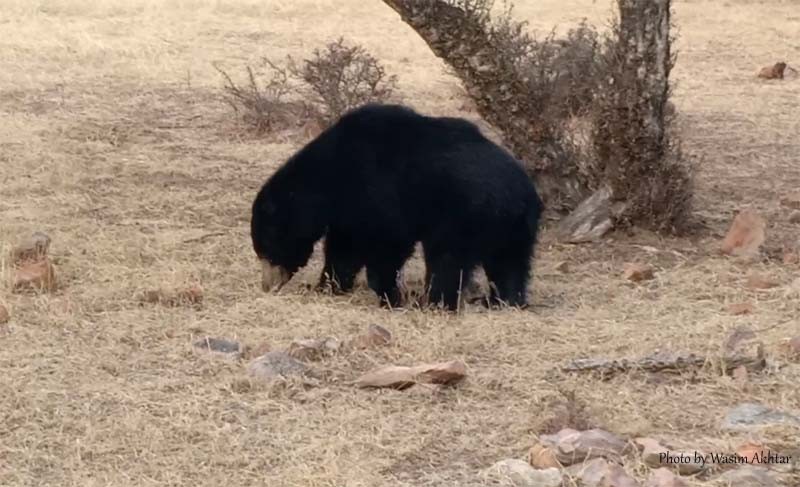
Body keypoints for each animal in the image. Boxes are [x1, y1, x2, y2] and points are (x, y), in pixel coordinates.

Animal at [250, 103, 543, 311]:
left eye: (268, 250)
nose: (267, 286)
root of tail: (522, 195)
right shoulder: (349, 211)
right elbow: (344, 249)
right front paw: (326, 286)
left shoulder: (378, 190)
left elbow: (385, 245)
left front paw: (390, 296)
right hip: (511, 228)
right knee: (509, 263)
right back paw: (501, 300)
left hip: (463, 214)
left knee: (447, 260)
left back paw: (434, 302)